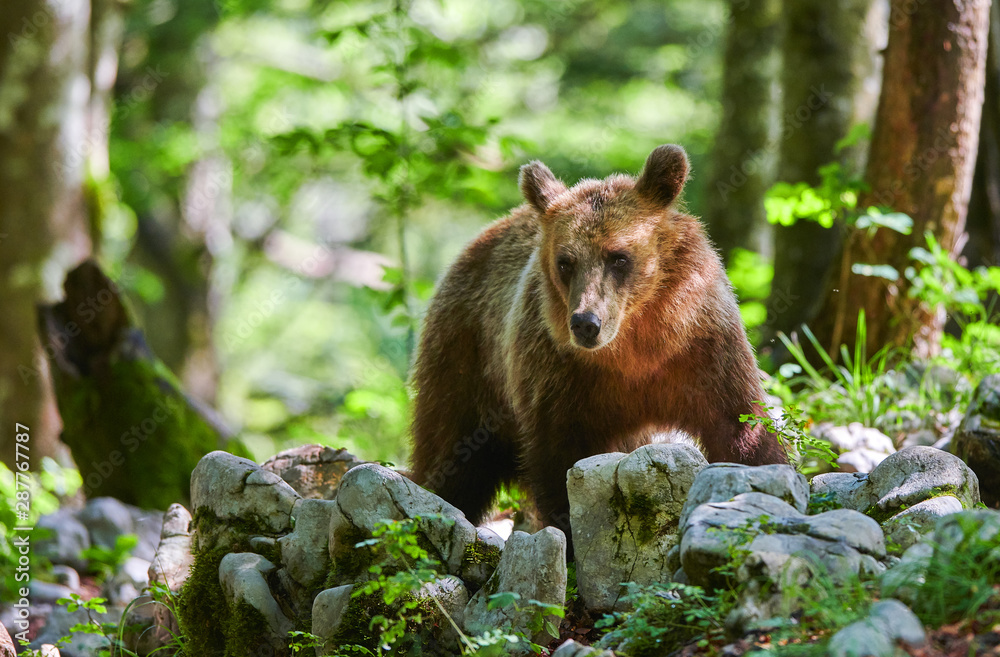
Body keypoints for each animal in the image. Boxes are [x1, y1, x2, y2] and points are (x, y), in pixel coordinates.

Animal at [409, 144, 787, 545]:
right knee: (452, 451)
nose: (586, 323)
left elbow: (740, 425)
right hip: (468, 357)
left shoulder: (702, 350)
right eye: (565, 262)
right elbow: (559, 462)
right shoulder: (560, 376)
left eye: (618, 257)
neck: (633, 347)